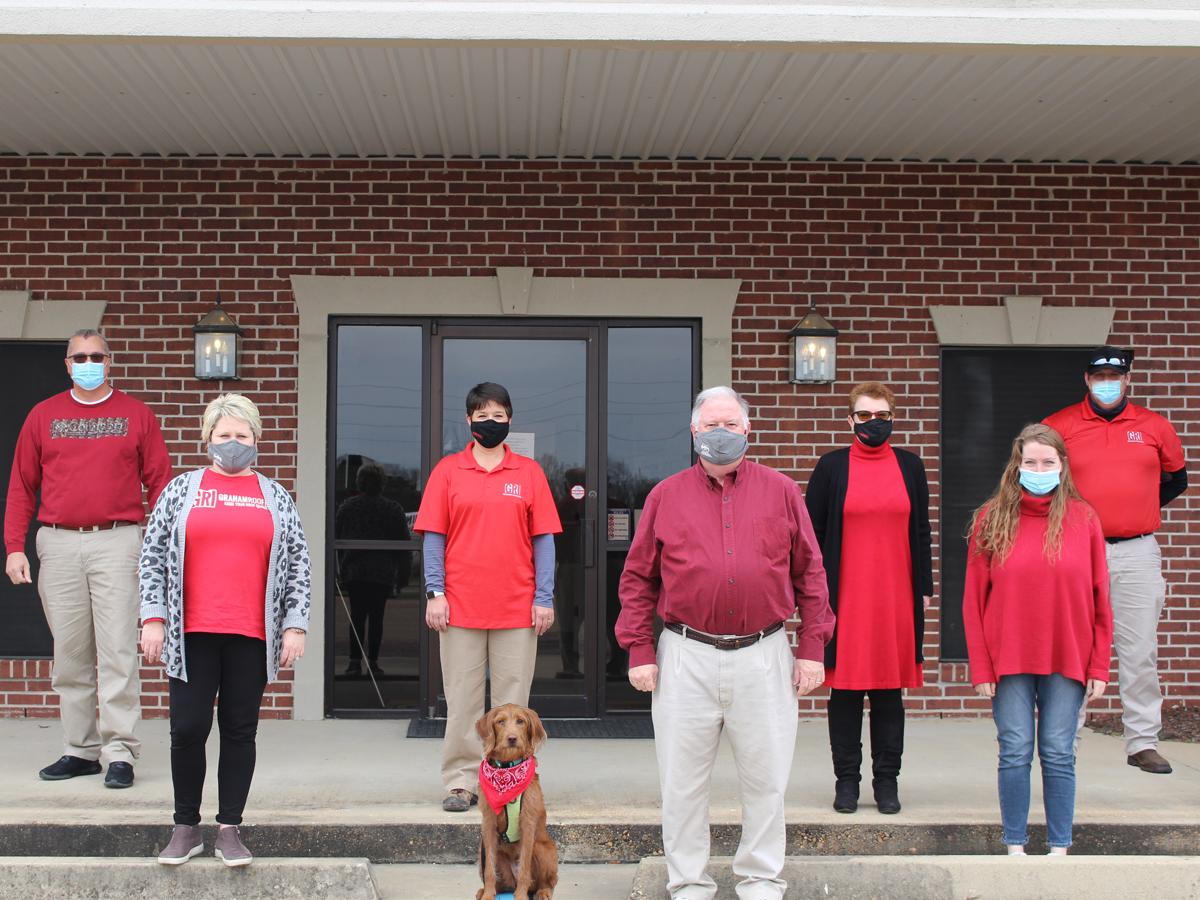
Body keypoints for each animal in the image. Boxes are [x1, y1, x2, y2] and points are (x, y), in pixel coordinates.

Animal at [472, 705, 556, 900]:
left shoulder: (528, 823)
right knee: (501, 882)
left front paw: (521, 896)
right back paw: (485, 890)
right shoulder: (488, 823)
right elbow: (489, 870)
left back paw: (542, 891)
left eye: (520, 721)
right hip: (484, 851)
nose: (512, 738)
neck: (506, 768)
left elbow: (525, 867)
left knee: (547, 881)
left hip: (543, 849)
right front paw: (488, 894)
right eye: (500, 721)